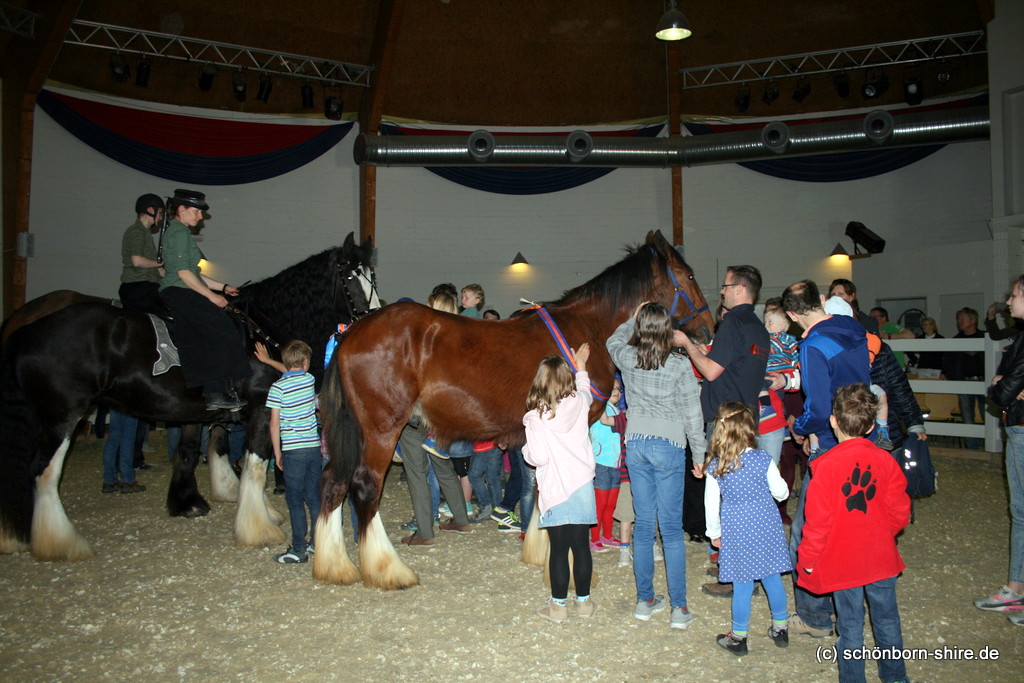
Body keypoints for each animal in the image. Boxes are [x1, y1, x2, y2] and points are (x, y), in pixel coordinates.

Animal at [0, 233, 380, 561]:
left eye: (372, 275)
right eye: (350, 277)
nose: (373, 320)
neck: (257, 329)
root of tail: (27, 330)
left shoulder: (198, 411)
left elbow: (192, 453)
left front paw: (189, 502)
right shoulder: (261, 409)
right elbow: (255, 465)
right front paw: (257, 526)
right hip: (62, 416)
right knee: (44, 473)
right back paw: (60, 542)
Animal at [313, 231, 712, 593]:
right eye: (690, 276)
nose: (708, 330)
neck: (588, 331)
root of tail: (352, 331)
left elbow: (540, 485)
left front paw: (541, 549)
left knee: (334, 480)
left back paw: (335, 566)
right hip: (381, 428)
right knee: (365, 485)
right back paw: (387, 569)